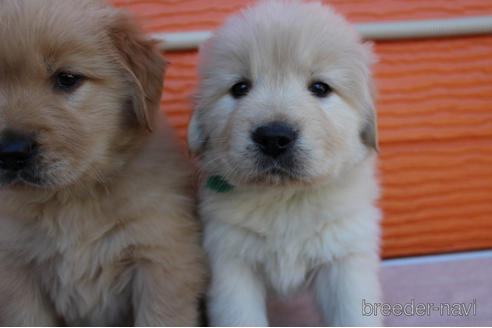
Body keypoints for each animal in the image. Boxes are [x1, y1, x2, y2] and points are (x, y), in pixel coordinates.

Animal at [187, 0, 380, 326]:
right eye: (240, 88)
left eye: (320, 88)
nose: (274, 137)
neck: (285, 198)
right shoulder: (231, 260)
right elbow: (240, 316)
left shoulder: (344, 253)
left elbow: (353, 313)